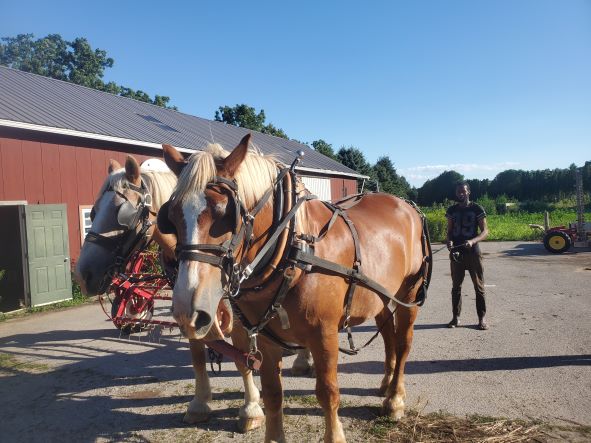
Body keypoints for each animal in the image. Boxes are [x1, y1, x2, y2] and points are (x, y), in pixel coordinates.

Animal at [73, 154, 265, 432]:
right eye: (94, 212)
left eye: (123, 215)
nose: (82, 275)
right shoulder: (190, 310)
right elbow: (197, 356)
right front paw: (199, 404)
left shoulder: (238, 316)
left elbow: (242, 358)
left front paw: (251, 408)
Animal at [159, 134, 432, 443]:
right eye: (170, 216)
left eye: (225, 214)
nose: (188, 312)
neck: (294, 249)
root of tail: (407, 206)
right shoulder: (266, 340)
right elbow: (273, 394)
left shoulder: (324, 335)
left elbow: (328, 393)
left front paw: (335, 435)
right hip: (381, 298)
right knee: (388, 338)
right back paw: (386, 384)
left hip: (409, 294)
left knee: (403, 342)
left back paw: (395, 399)